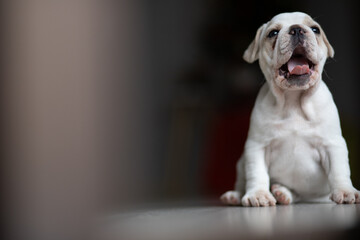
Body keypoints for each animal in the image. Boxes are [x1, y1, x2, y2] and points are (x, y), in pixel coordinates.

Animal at [221, 11, 358, 206]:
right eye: (273, 33)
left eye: (315, 29)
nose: (297, 29)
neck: (293, 99)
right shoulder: (257, 146)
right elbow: (257, 172)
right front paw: (259, 194)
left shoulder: (332, 144)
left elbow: (339, 170)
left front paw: (345, 191)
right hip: (241, 163)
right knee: (242, 181)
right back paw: (236, 196)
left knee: (298, 195)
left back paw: (283, 193)